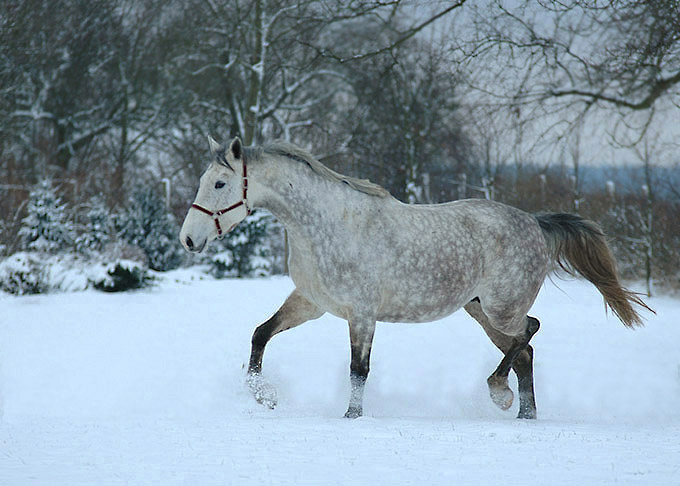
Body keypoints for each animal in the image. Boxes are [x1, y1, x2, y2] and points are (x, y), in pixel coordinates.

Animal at [178, 136, 652, 418]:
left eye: (219, 184)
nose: (188, 239)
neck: (327, 225)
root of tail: (535, 222)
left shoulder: (362, 314)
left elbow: (359, 370)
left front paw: (351, 418)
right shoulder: (311, 303)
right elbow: (261, 333)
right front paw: (264, 395)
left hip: (502, 308)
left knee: (529, 332)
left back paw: (499, 392)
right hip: (482, 313)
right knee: (526, 354)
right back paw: (523, 415)